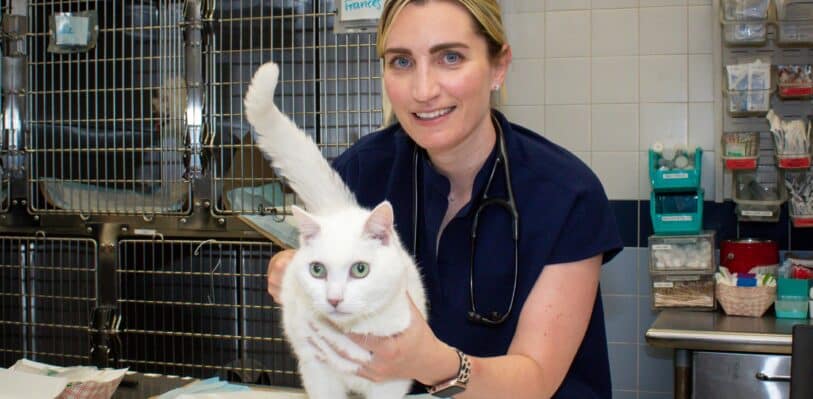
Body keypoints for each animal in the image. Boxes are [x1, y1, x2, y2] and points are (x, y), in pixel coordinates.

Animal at [244, 61, 428, 398]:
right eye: (317, 270)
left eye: (360, 269)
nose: (333, 299)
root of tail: (338, 210)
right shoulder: (316, 369)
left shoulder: (392, 378)